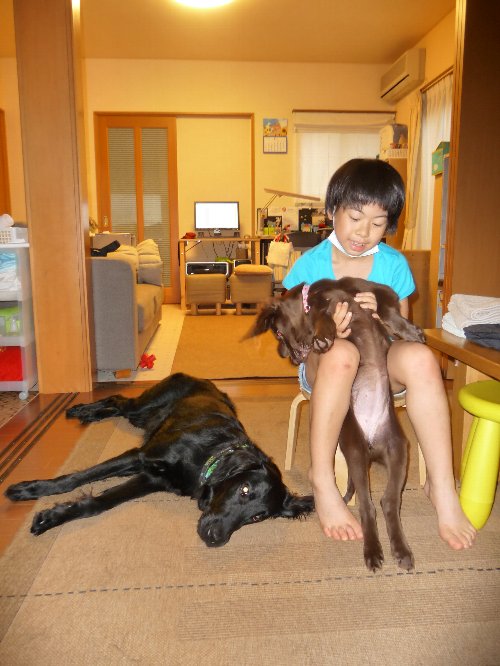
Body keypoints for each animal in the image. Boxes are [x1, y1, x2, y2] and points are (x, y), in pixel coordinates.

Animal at [5, 373, 314, 546]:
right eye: (244, 489)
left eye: (258, 517)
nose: (215, 539)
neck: (206, 460)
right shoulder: (141, 456)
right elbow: (76, 478)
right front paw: (29, 489)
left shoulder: (151, 479)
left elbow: (100, 502)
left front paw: (52, 517)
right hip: (143, 408)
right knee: (117, 399)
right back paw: (82, 410)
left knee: (117, 404)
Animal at [248, 277, 426, 571]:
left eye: (277, 334)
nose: (287, 357)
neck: (316, 296)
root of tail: (372, 444)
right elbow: (324, 317)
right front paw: (324, 335)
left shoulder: (374, 290)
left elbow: (386, 309)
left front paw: (411, 331)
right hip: (355, 448)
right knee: (368, 505)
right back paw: (374, 552)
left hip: (399, 448)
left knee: (388, 501)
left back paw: (400, 551)